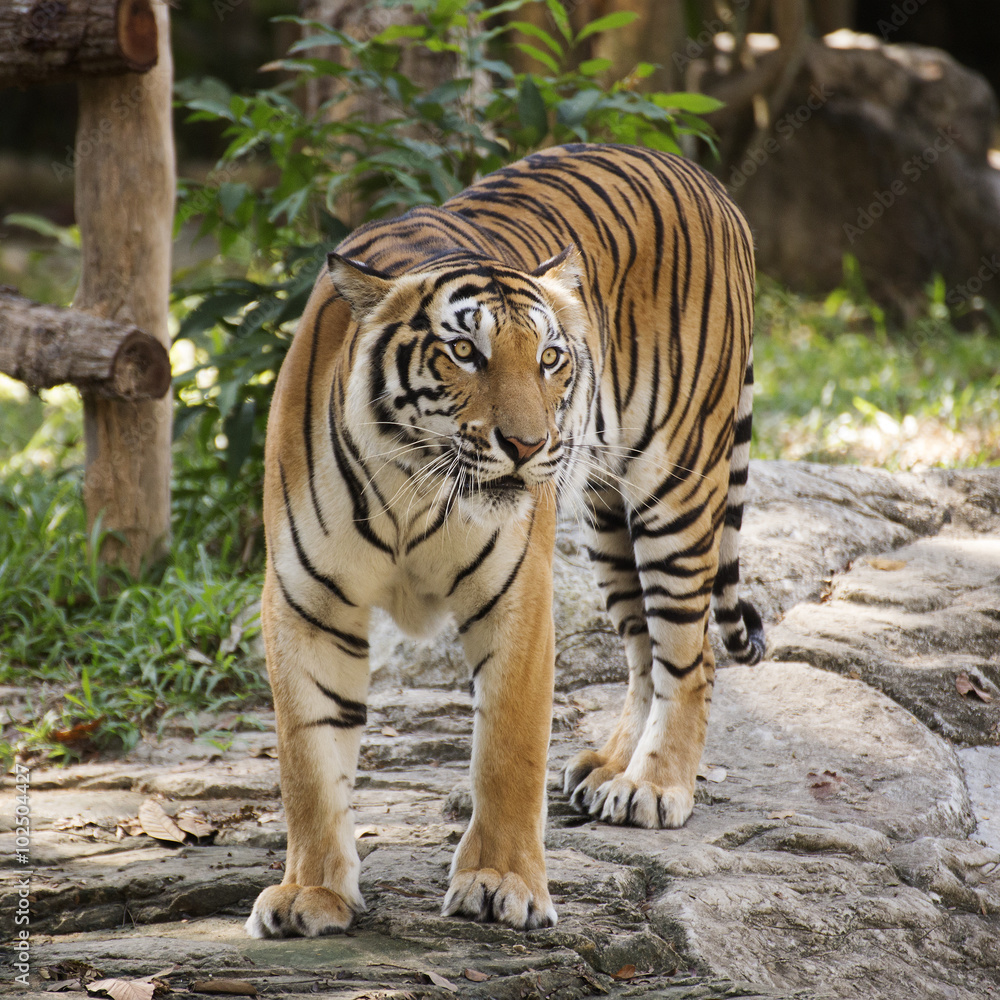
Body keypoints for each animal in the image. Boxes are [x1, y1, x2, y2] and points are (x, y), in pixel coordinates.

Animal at [245, 143, 764, 939]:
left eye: (550, 358)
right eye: (465, 352)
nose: (527, 445)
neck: (414, 486)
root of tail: (701, 175)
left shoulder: (517, 594)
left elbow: (507, 750)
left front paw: (501, 884)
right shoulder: (307, 602)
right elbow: (308, 760)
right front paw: (311, 893)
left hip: (676, 487)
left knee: (691, 651)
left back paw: (653, 785)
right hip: (607, 519)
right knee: (643, 646)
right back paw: (611, 767)